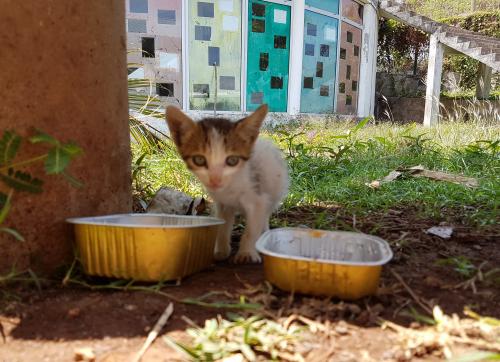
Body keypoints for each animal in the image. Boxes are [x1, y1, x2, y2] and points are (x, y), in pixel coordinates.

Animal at [165, 104, 290, 264]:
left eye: (232, 160)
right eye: (199, 160)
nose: (215, 180)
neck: (230, 187)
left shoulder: (258, 199)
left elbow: (252, 228)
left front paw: (247, 253)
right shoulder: (223, 204)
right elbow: (222, 227)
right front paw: (221, 250)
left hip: (274, 190)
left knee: (265, 215)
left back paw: (264, 233)